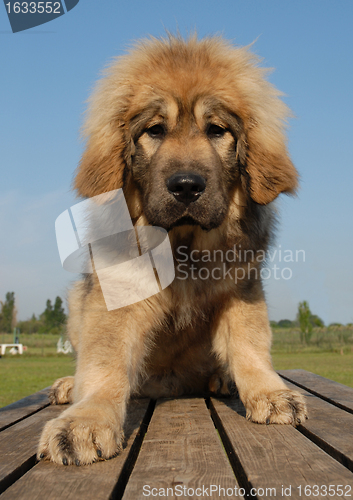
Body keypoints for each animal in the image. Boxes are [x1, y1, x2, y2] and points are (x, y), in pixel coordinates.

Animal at [37, 34, 306, 464]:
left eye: (216, 130)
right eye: (155, 130)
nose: (186, 186)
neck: (181, 244)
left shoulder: (240, 290)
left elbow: (249, 345)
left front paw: (269, 391)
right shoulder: (114, 293)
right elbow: (103, 363)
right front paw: (85, 422)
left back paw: (222, 379)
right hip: (79, 296)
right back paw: (67, 384)